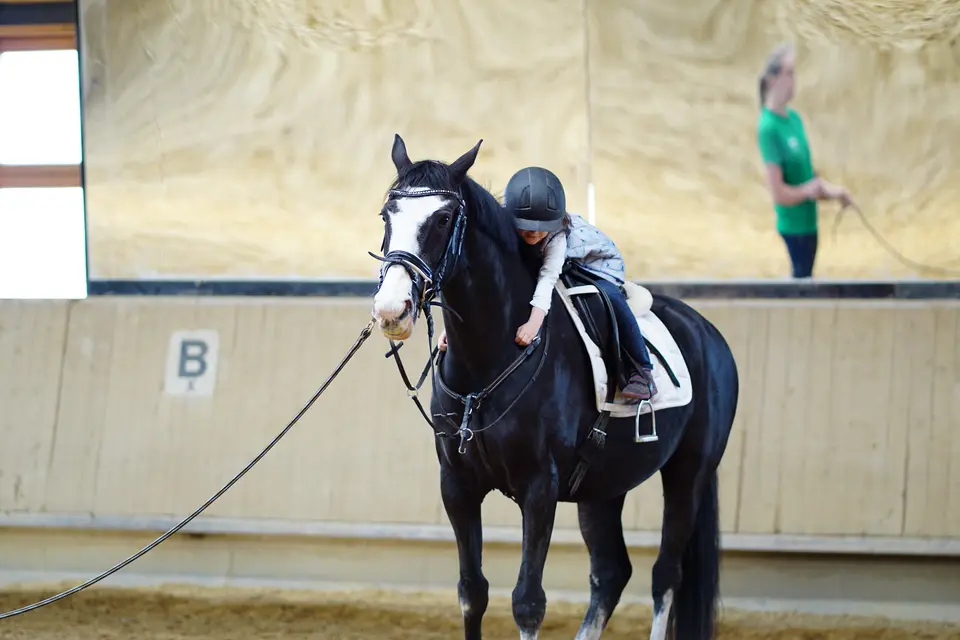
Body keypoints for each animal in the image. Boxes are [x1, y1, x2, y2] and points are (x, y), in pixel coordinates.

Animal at [369, 134, 739, 640]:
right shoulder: (458, 486)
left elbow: (528, 602)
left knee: (666, 575)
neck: (489, 360)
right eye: (387, 215)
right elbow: (472, 593)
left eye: (443, 219)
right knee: (611, 573)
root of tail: (707, 332)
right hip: (604, 487)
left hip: (689, 473)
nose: (392, 310)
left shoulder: (539, 488)